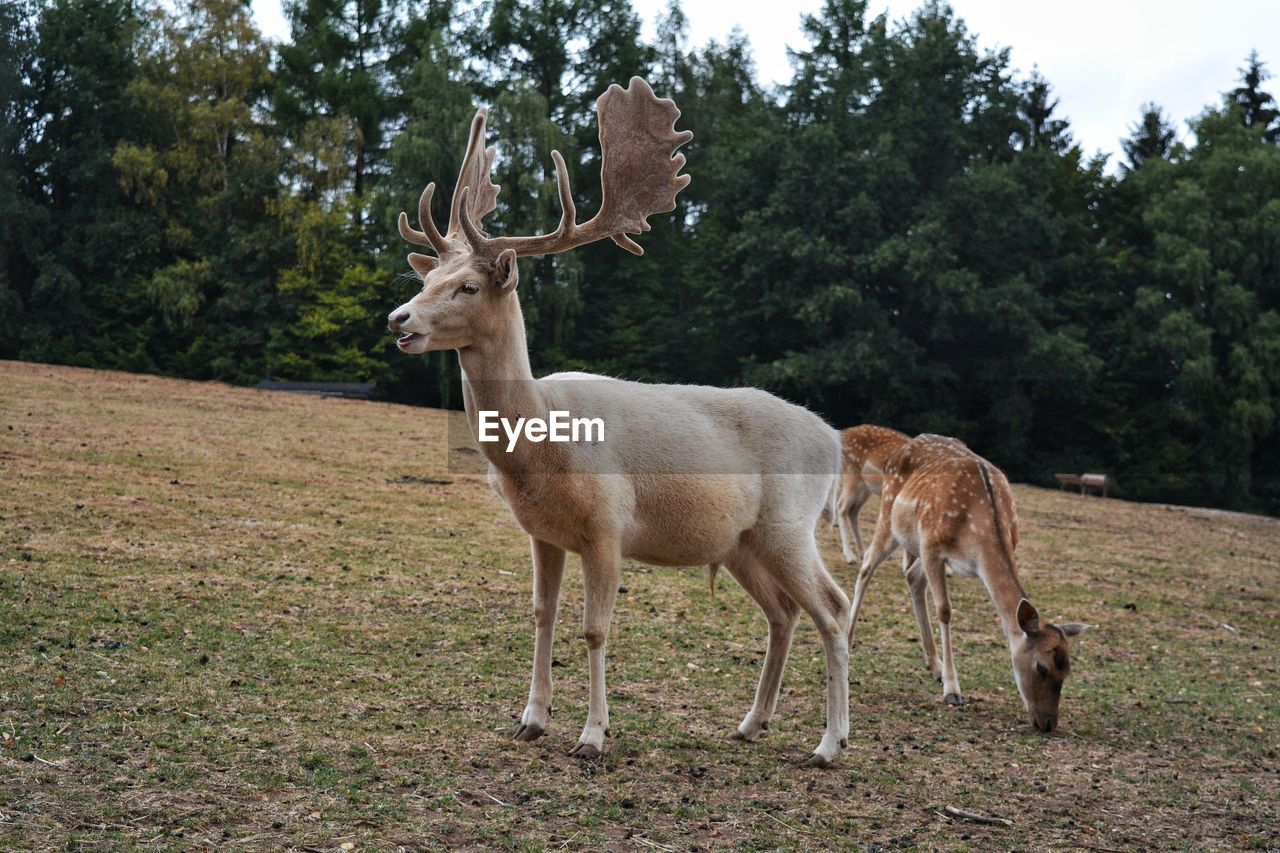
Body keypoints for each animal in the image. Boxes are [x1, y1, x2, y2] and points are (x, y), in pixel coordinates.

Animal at [384, 81, 855, 763]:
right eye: (430, 278)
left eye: (468, 286)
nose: (399, 319)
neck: (541, 447)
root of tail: (837, 441)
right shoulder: (543, 533)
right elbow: (542, 616)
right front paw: (531, 719)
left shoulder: (607, 527)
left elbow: (595, 629)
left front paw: (592, 736)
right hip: (742, 542)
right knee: (783, 612)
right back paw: (751, 723)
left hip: (790, 524)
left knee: (834, 607)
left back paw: (830, 742)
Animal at [834, 422, 916, 560]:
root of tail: (842, 434)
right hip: (852, 474)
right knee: (841, 507)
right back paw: (850, 556)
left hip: (865, 488)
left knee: (852, 511)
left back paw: (862, 552)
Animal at [849, 435, 1090, 727]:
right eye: (1041, 667)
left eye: (1067, 669)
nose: (1048, 724)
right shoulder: (931, 546)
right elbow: (944, 610)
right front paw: (953, 691)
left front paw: (945, 677)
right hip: (890, 517)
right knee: (866, 566)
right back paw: (847, 640)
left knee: (912, 576)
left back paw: (935, 666)